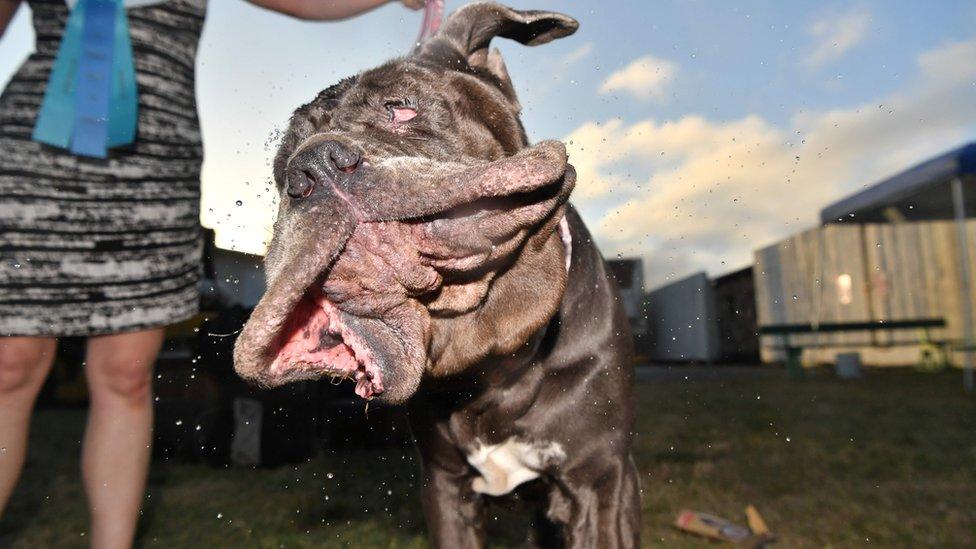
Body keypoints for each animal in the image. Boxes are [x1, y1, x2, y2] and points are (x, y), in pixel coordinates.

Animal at [231, 3, 640, 544]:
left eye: (401, 109)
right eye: (280, 174)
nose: (313, 165)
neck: (492, 361)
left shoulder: (600, 484)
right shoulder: (445, 488)